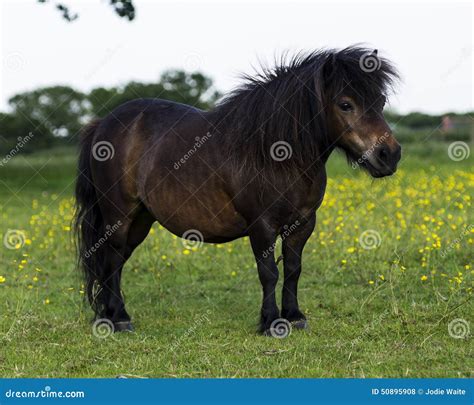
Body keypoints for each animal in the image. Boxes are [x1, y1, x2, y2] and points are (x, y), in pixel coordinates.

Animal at [76, 45, 402, 334]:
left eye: (381, 101)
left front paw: (295, 317)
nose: (389, 155)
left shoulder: (303, 223)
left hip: (141, 219)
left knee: (113, 262)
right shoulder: (262, 225)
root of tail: (104, 123)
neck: (276, 154)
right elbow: (269, 272)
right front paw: (271, 323)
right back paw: (119, 319)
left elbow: (293, 269)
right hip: (119, 215)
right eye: (346, 104)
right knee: (112, 259)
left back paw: (108, 315)